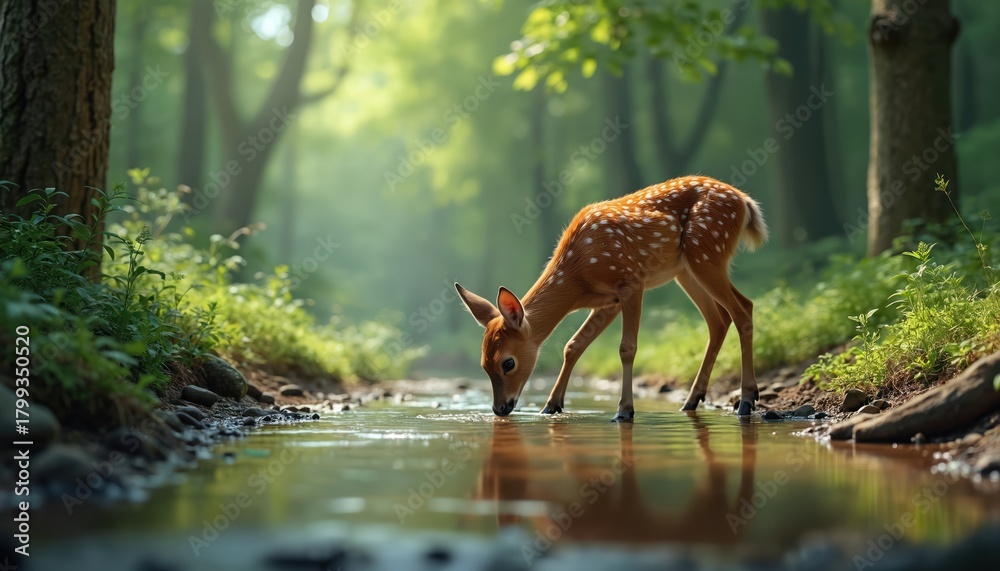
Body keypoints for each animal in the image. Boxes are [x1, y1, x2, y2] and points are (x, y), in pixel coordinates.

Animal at [455, 175, 768, 421]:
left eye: (508, 363)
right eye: (483, 364)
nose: (499, 409)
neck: (578, 275)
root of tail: (745, 202)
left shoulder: (630, 281)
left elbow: (626, 348)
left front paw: (624, 410)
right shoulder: (609, 301)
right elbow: (574, 345)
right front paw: (551, 406)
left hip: (706, 250)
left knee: (743, 308)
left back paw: (747, 400)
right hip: (687, 269)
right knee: (721, 318)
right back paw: (691, 400)